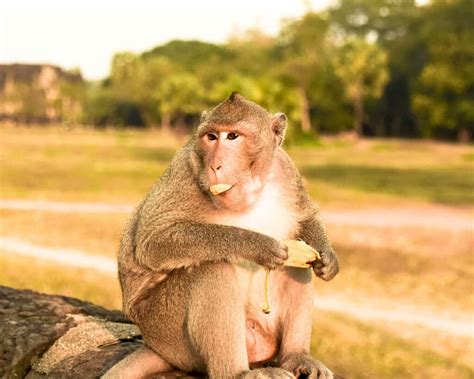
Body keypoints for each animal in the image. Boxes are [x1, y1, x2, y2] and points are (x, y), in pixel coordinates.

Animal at [112, 93, 338, 379]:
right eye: (211, 137)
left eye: (233, 136)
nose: (214, 165)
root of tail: (157, 347)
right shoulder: (183, 171)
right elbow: (153, 242)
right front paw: (258, 245)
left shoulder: (286, 167)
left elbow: (304, 216)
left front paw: (328, 258)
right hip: (166, 329)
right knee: (213, 269)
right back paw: (236, 372)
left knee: (297, 266)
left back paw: (296, 356)